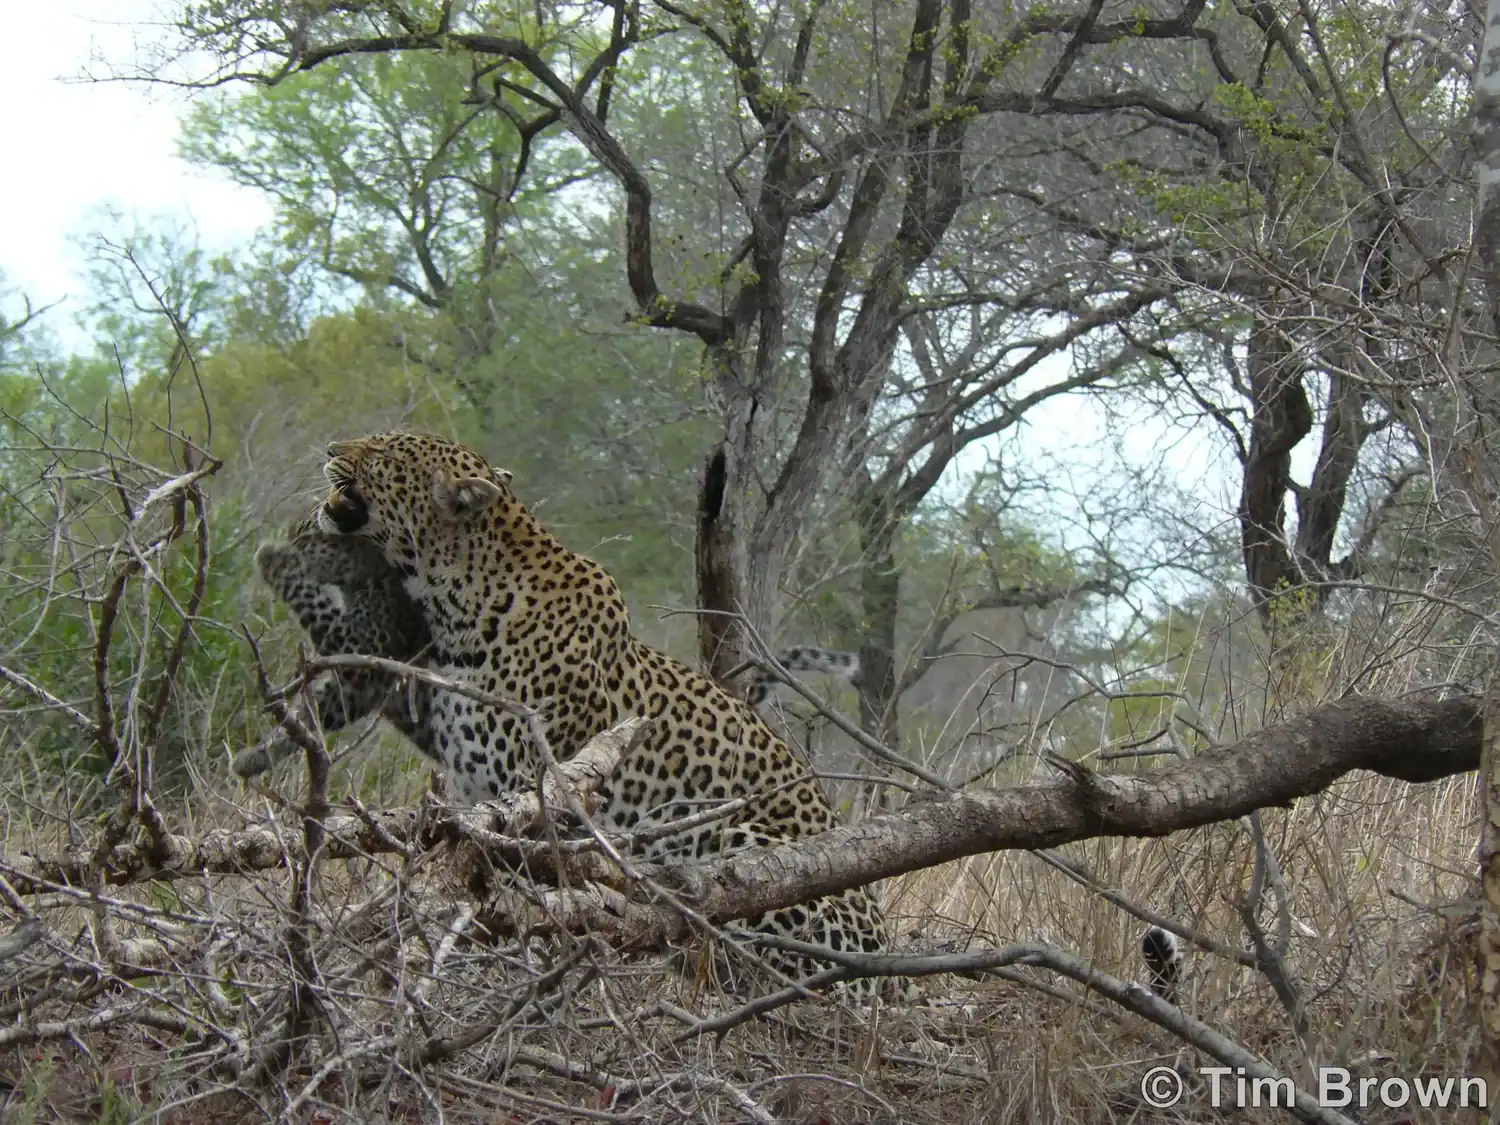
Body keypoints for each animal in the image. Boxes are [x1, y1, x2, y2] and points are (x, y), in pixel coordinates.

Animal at [311, 430, 895, 999]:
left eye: (383, 452)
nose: (331, 450)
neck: (455, 599)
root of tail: (888, 967)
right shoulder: (467, 785)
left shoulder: (532, 795)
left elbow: (524, 901)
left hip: (733, 843)